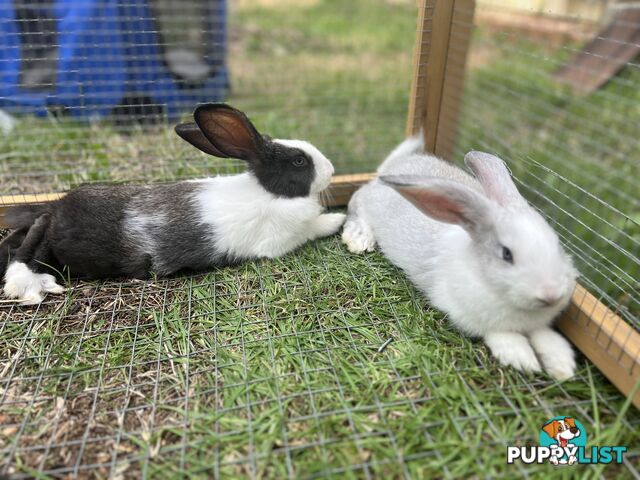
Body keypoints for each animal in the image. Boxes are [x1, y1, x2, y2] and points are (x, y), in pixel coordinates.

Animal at [1, 103, 344, 304]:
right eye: (299, 161)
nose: (331, 170)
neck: (270, 192)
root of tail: (58, 209)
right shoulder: (282, 240)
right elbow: (314, 228)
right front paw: (336, 220)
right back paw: (33, 285)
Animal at [344, 134, 580, 378]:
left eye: (557, 245)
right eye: (506, 254)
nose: (551, 295)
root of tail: (391, 167)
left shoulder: (538, 324)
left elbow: (545, 336)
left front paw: (562, 366)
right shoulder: (470, 316)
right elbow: (502, 336)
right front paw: (522, 360)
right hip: (367, 203)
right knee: (356, 201)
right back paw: (360, 238)